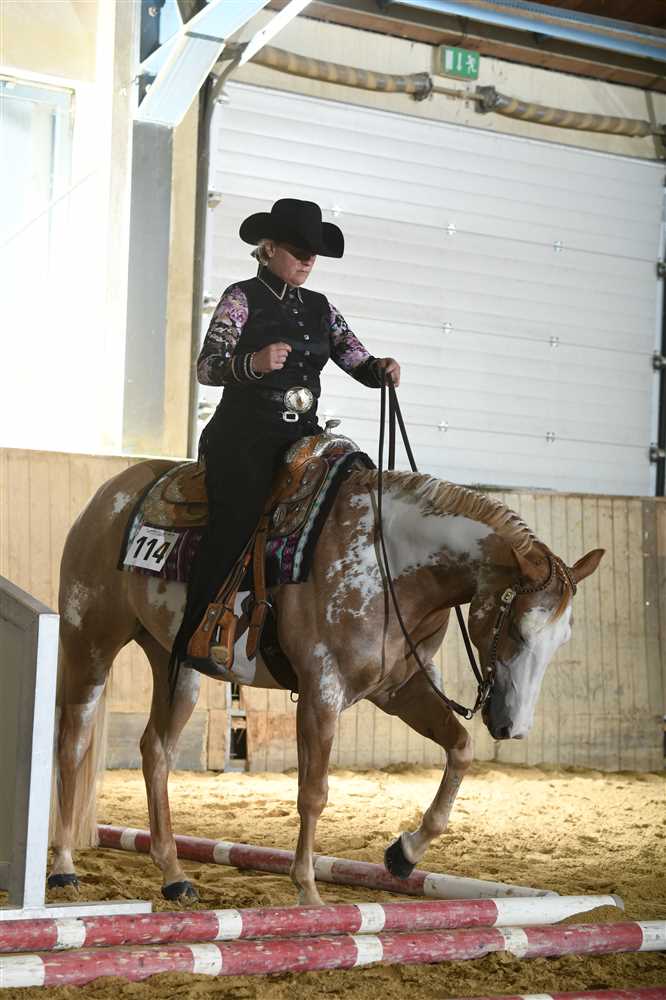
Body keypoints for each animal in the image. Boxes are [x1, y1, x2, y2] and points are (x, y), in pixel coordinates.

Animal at [49, 456, 603, 905]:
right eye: (517, 628)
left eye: (563, 640)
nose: (513, 727)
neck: (390, 563)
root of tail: (110, 494)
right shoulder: (321, 693)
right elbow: (313, 792)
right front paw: (309, 890)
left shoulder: (399, 691)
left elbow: (461, 749)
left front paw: (404, 853)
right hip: (90, 642)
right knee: (72, 740)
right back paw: (63, 867)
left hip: (175, 662)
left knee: (157, 752)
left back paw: (173, 875)